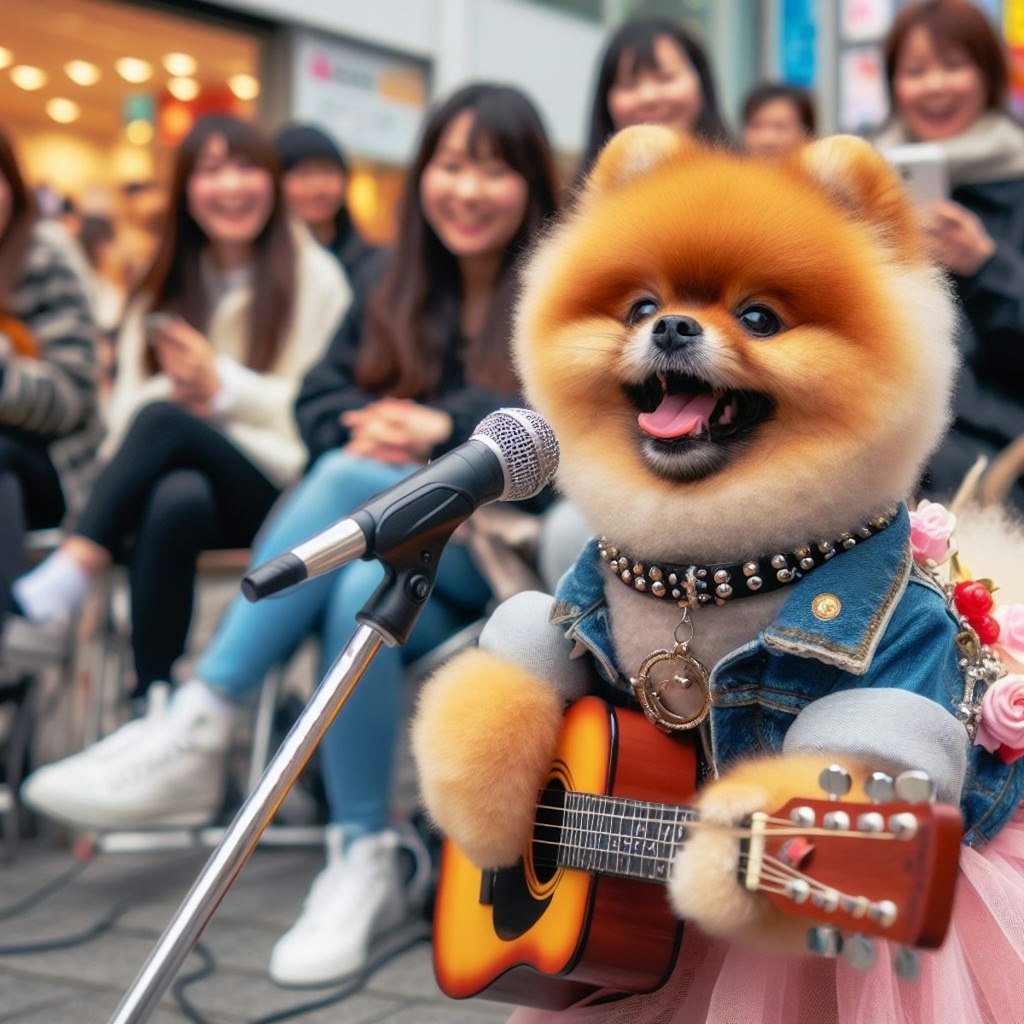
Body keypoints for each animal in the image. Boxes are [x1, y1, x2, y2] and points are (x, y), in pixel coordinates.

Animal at [411, 130, 1019, 1024]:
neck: (704, 572)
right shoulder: (572, 605)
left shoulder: (902, 665)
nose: (671, 325)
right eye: (639, 306)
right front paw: (489, 810)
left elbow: (860, 764)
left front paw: (731, 861)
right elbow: (518, 672)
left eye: (760, 318)